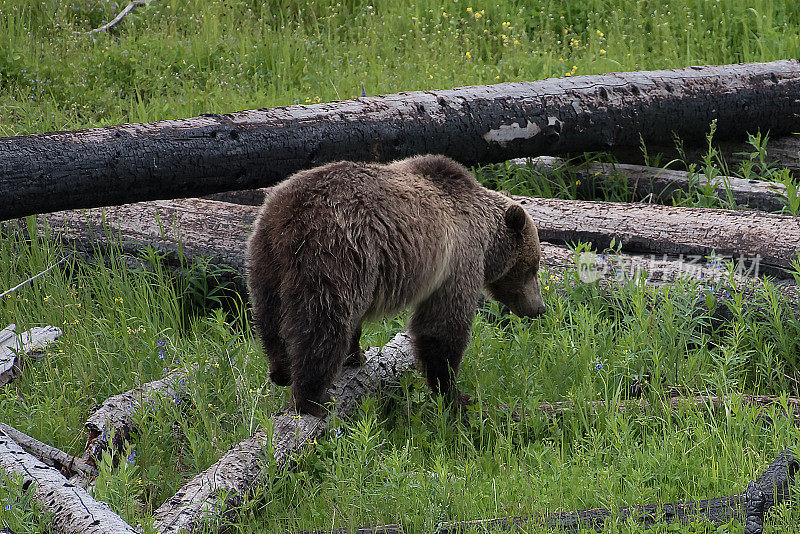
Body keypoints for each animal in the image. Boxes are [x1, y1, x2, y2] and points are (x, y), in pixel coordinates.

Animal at [247, 153, 548, 416]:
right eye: (533, 266)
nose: (539, 308)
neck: (486, 239)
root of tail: (287, 215)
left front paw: (355, 355)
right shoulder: (458, 259)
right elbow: (442, 327)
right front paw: (454, 394)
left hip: (267, 258)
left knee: (270, 314)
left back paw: (282, 371)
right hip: (335, 252)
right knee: (324, 321)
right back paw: (312, 398)